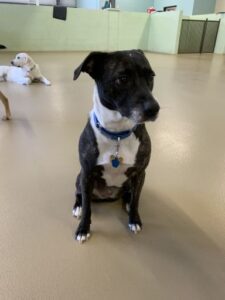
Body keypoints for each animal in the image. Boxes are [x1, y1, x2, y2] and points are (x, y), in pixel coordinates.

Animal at [72, 50, 160, 243]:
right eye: (122, 78)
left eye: (151, 76)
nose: (154, 109)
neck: (117, 134)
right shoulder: (87, 174)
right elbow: (88, 207)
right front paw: (83, 228)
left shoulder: (140, 173)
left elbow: (136, 201)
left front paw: (134, 219)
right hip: (79, 177)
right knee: (80, 195)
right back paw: (77, 206)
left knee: (131, 195)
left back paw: (126, 202)